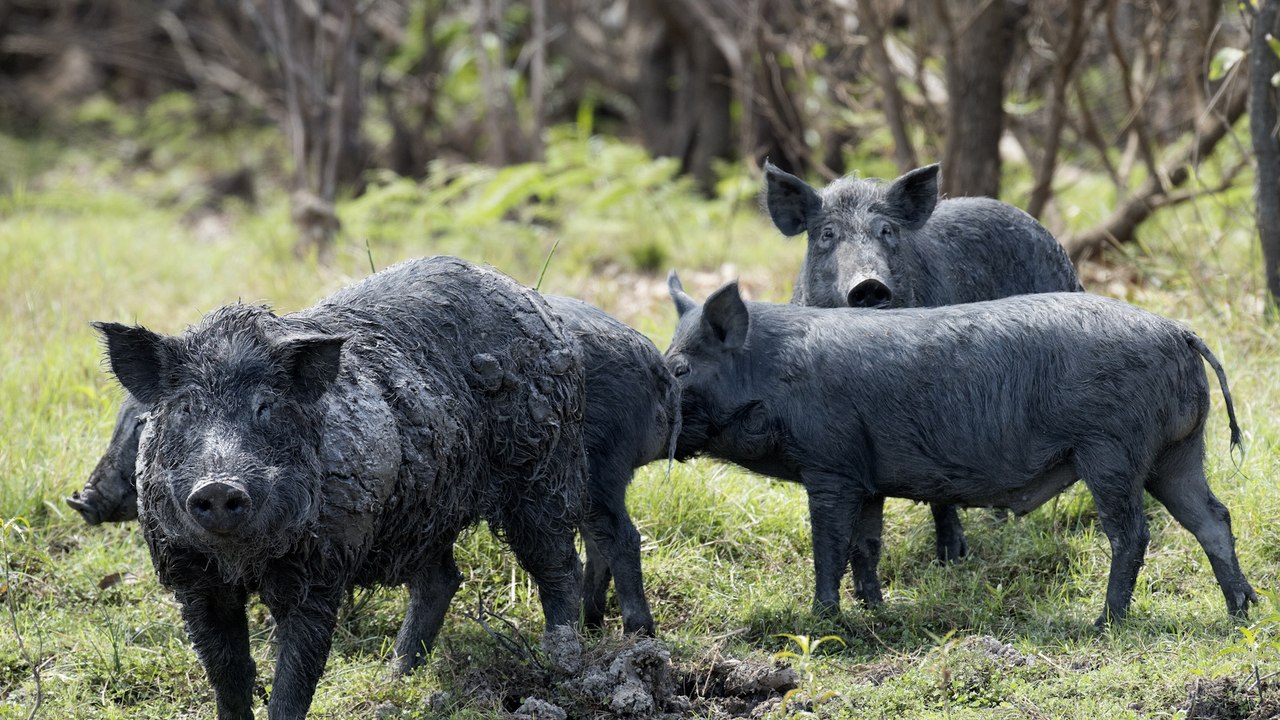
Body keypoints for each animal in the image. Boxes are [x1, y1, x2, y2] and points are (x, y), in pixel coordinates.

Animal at [72, 294, 678, 639]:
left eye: (140, 426)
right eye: (160, 419)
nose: (81, 499)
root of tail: (652, 359)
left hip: (578, 473)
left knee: (613, 538)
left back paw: (627, 638)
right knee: (449, 577)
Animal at [93, 256, 588, 720]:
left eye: (266, 407)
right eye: (186, 408)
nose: (218, 485)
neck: (242, 562)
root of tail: (532, 300)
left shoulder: (321, 568)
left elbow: (296, 676)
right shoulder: (191, 577)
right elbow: (227, 673)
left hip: (540, 468)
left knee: (560, 564)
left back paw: (564, 662)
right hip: (425, 510)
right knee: (442, 579)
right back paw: (395, 678)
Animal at [665, 274, 1255, 626]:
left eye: (680, 368)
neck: (771, 376)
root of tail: (1178, 331)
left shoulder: (829, 466)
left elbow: (828, 547)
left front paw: (823, 621)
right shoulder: (866, 478)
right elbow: (865, 547)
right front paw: (877, 613)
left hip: (1111, 451)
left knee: (1133, 533)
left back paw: (1102, 623)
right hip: (1176, 452)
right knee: (1213, 517)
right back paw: (1243, 611)